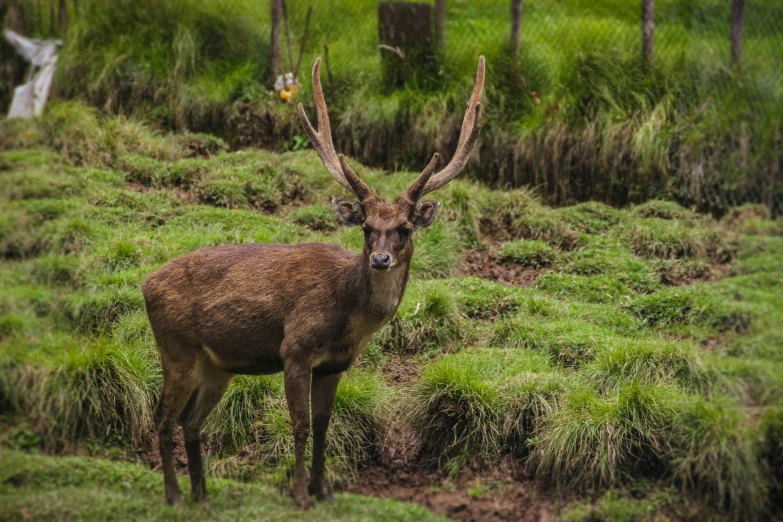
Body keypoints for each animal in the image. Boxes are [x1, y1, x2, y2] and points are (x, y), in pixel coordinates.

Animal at [141, 54, 484, 506]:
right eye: (366, 228)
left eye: (405, 228)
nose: (380, 259)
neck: (348, 319)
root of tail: (145, 286)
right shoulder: (295, 349)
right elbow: (300, 426)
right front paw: (300, 492)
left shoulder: (334, 365)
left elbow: (324, 425)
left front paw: (324, 489)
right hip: (175, 348)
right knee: (163, 418)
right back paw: (174, 494)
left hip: (216, 366)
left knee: (191, 422)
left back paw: (202, 493)